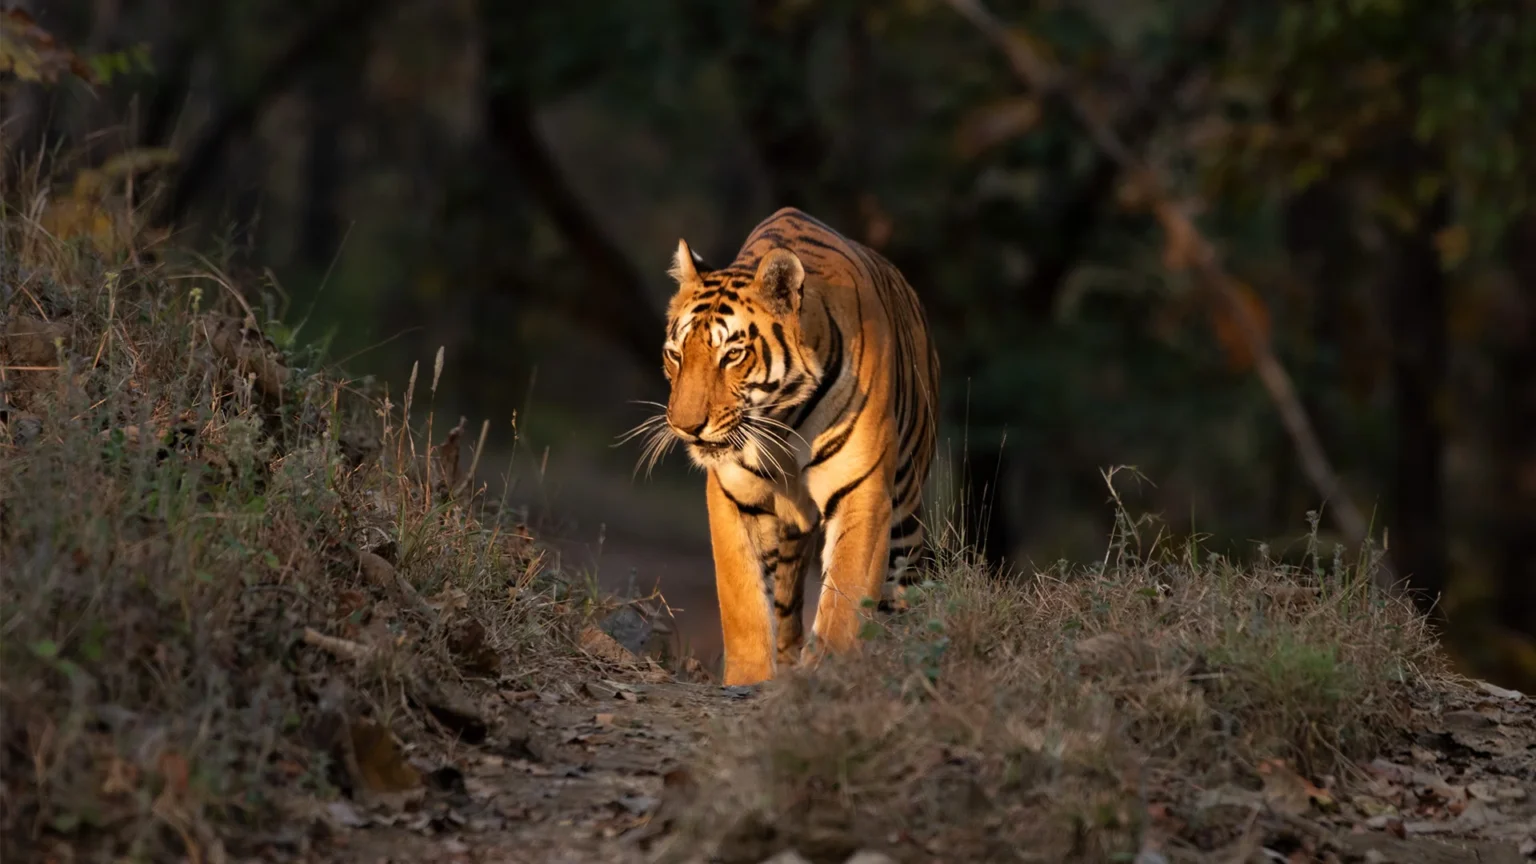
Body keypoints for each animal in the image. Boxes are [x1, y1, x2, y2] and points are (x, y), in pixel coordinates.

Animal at [652, 206, 940, 686]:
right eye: (676, 354)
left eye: (732, 355)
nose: (685, 426)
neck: (781, 422)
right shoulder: (732, 497)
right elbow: (744, 604)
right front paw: (750, 680)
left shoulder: (862, 492)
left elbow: (845, 598)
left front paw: (830, 672)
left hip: (905, 507)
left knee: (902, 588)